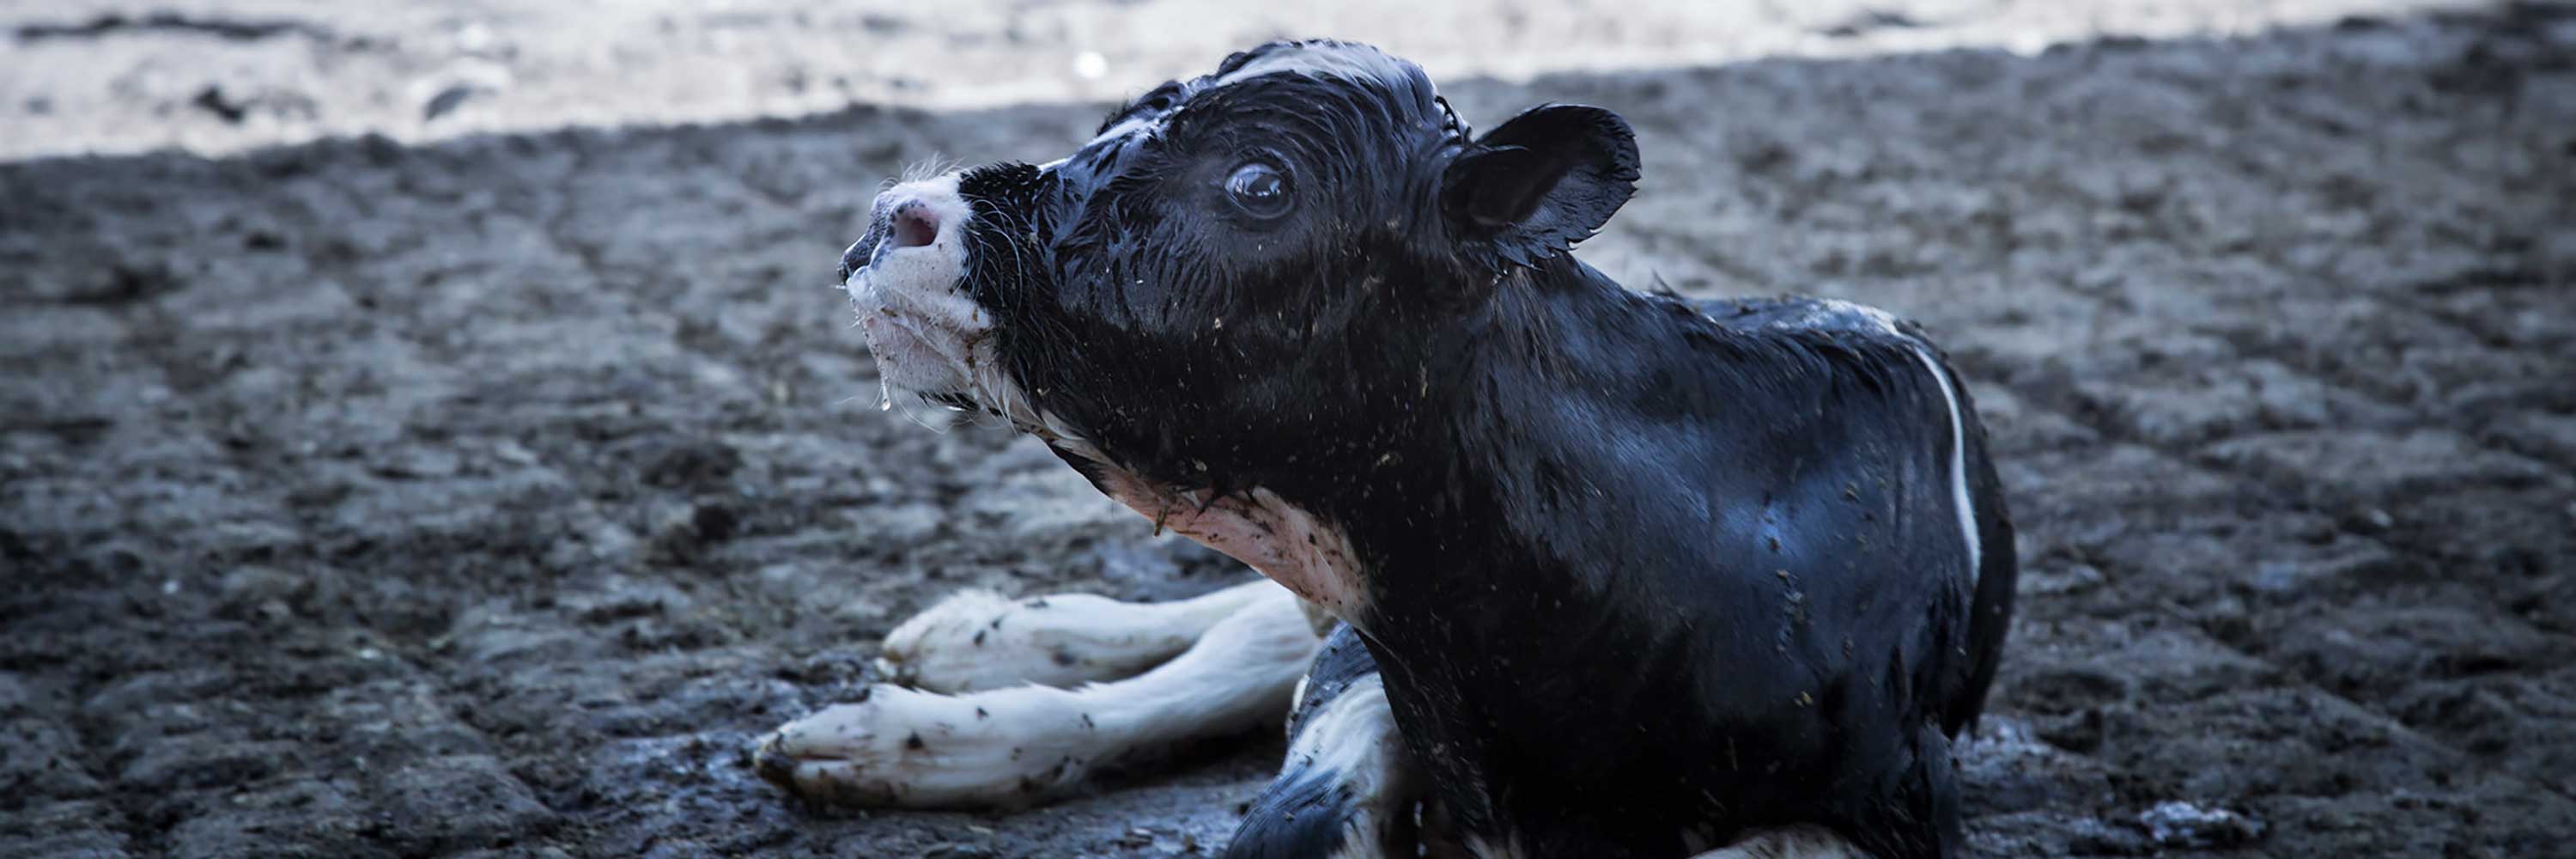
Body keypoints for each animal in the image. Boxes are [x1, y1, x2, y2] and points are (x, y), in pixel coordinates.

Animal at [752, 40, 2020, 856]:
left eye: (1259, 180)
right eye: (1121, 116)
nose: (900, 215)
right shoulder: (1378, 674)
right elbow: (1299, 812)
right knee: (1245, 639)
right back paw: (961, 670)